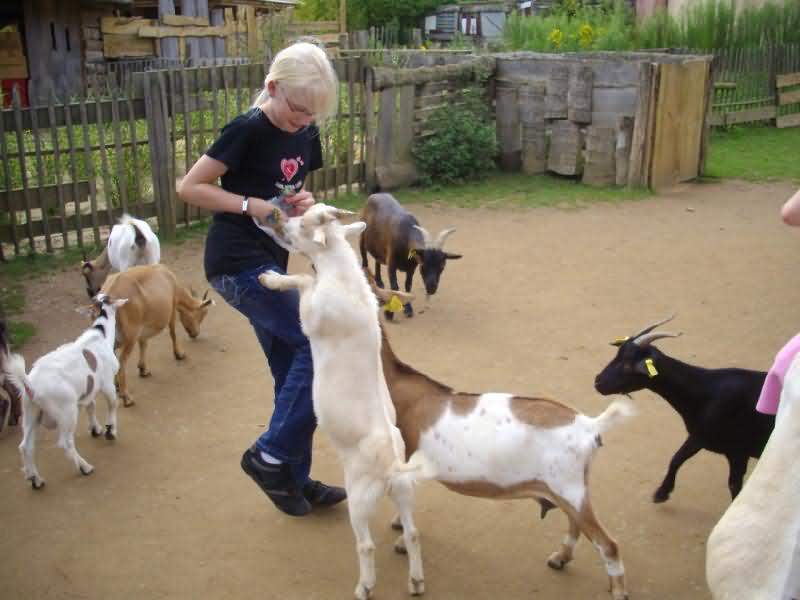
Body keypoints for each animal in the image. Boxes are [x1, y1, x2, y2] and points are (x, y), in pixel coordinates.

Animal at [2, 294, 128, 489]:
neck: (100, 335)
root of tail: (31, 384)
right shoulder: (107, 383)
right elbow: (113, 404)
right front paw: (110, 431)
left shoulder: (87, 391)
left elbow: (91, 406)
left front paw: (96, 429)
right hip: (66, 411)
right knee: (65, 443)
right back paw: (85, 467)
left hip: (31, 411)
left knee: (25, 446)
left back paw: (35, 479)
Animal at [100, 264, 213, 407]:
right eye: (203, 313)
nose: (195, 334)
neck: (170, 280)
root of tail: (108, 295)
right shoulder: (172, 307)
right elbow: (173, 333)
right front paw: (179, 354)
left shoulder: (142, 327)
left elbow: (144, 343)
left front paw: (143, 369)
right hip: (130, 337)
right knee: (122, 362)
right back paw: (127, 397)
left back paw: (117, 386)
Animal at [259, 203, 434, 600]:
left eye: (303, 225)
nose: (279, 219)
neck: (343, 278)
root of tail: (391, 468)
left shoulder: (312, 313)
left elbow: (303, 281)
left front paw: (271, 279)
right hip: (404, 493)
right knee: (413, 533)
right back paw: (416, 581)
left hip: (359, 498)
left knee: (365, 545)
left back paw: (364, 586)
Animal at [365, 271, 633, 600]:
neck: (396, 385)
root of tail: (590, 425)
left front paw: (402, 540)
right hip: (573, 487)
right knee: (576, 524)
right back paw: (560, 558)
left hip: (568, 487)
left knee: (608, 544)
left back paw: (616, 589)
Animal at [594, 315, 774, 503]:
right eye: (617, 355)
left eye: (628, 364)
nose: (597, 381)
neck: (707, 390)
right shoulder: (700, 438)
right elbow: (677, 459)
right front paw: (662, 492)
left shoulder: (735, 450)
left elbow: (733, 485)